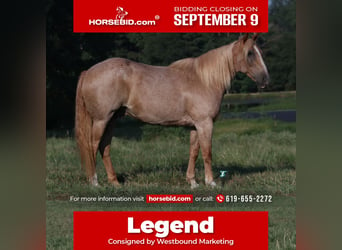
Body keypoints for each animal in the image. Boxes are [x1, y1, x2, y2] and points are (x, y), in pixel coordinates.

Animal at [75, 33, 270, 188]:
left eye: (261, 52)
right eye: (250, 53)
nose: (265, 80)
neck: (204, 80)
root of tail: (88, 71)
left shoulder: (195, 126)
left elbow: (194, 152)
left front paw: (193, 182)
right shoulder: (205, 123)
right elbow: (207, 152)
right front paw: (211, 182)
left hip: (112, 120)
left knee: (104, 147)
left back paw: (114, 182)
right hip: (101, 120)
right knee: (92, 146)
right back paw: (95, 182)